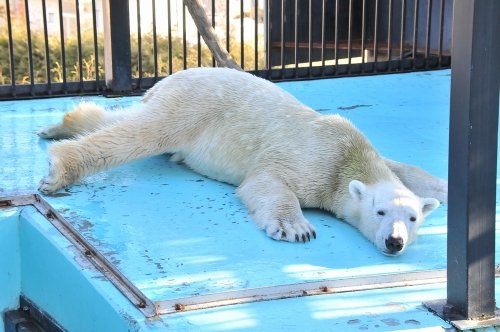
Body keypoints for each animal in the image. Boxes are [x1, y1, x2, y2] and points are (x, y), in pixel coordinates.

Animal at [37, 67, 448, 254]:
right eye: (380, 213)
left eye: (413, 218)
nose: (395, 242)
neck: (347, 156)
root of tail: (169, 78)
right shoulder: (310, 160)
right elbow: (268, 183)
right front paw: (296, 228)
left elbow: (403, 168)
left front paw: (442, 187)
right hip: (192, 107)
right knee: (142, 134)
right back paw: (60, 166)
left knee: (127, 121)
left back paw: (64, 123)